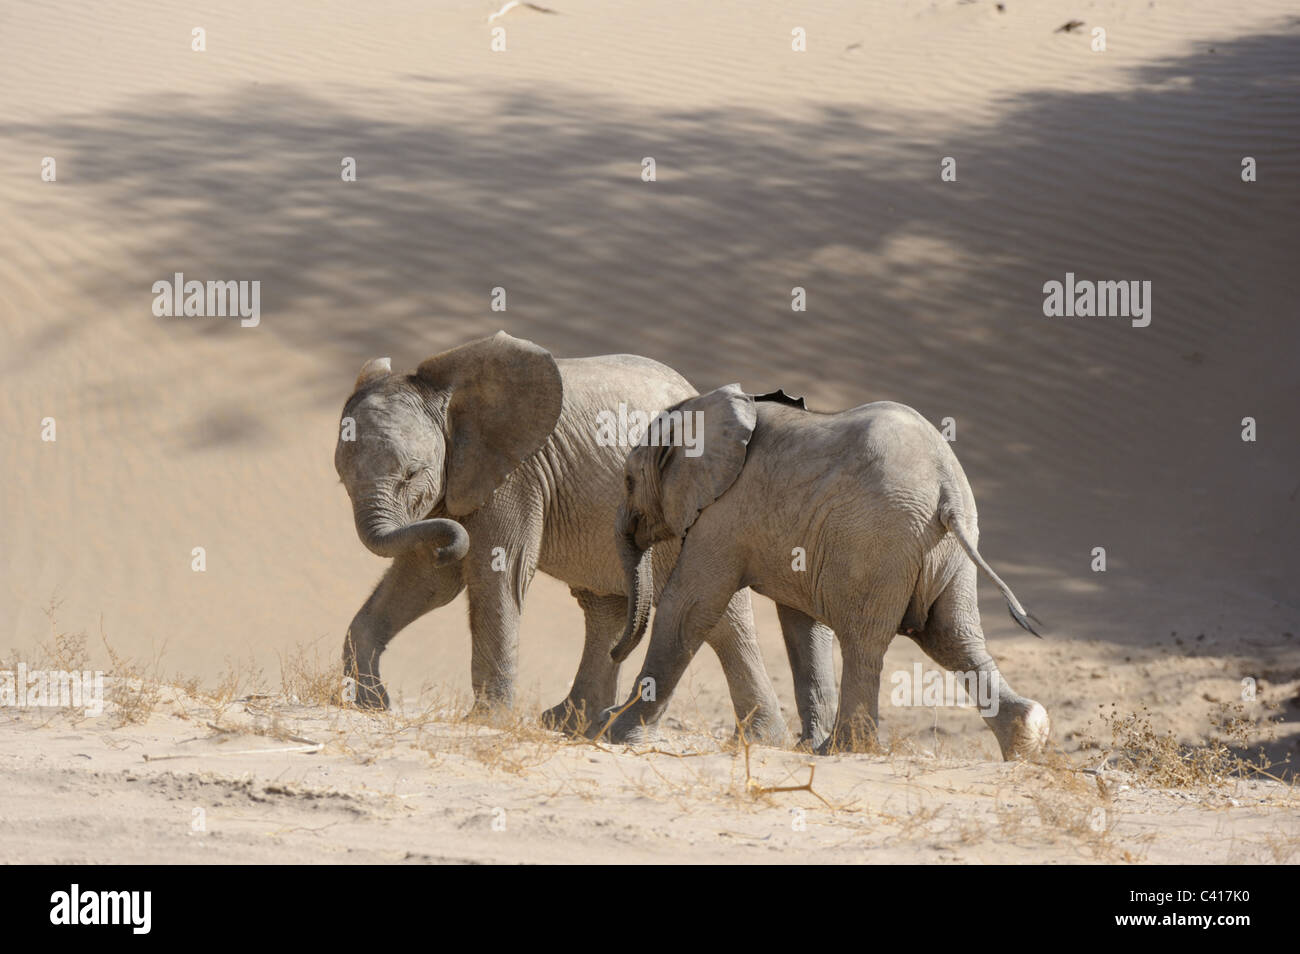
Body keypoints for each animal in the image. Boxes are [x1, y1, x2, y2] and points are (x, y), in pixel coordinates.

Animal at [327, 335, 832, 748]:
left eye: (412, 475)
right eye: (342, 480)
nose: (449, 541)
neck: (444, 392)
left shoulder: (517, 474)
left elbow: (496, 572)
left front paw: (485, 721)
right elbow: (430, 578)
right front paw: (370, 703)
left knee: (720, 619)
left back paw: (760, 740)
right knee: (605, 610)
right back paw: (573, 725)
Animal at [603, 382, 1050, 764]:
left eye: (627, 479)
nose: (613, 653)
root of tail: (947, 490)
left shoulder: (724, 512)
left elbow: (688, 605)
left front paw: (614, 734)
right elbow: (801, 624)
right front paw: (804, 744)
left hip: (880, 542)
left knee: (865, 641)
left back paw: (846, 749)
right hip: (948, 551)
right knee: (953, 637)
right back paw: (1027, 738)